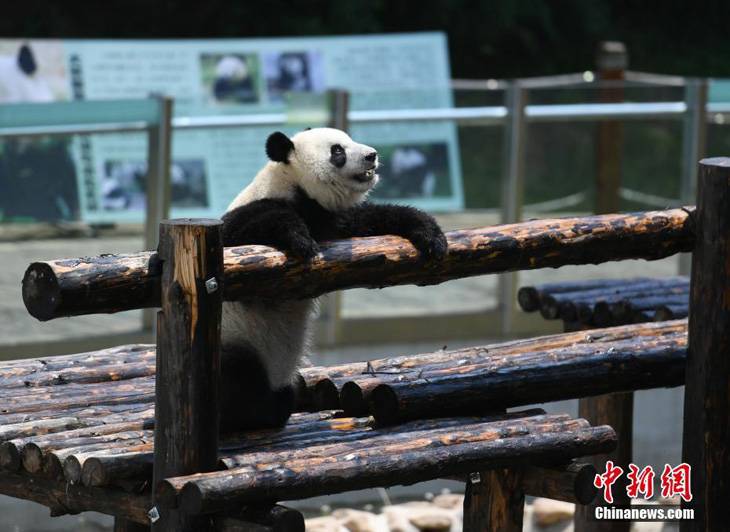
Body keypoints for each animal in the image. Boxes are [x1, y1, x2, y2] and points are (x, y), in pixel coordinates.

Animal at [218, 129, 444, 432]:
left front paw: (430, 233)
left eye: (349, 141)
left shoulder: (334, 220)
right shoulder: (258, 209)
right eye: (338, 151)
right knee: (239, 380)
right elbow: (243, 236)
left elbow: (372, 217)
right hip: (237, 341)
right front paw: (299, 239)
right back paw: (255, 413)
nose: (371, 155)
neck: (293, 184)